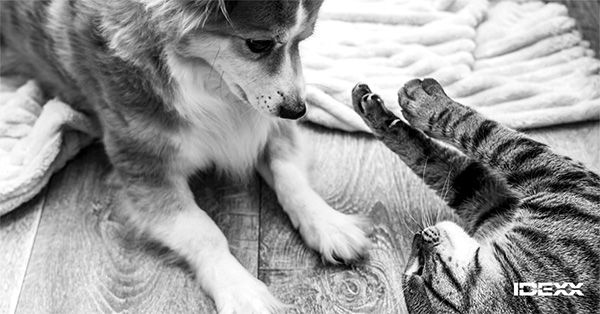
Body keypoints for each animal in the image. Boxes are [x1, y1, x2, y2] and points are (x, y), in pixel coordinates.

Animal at [1, 1, 370, 312]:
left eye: (304, 40)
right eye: (258, 44)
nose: (297, 110)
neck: (204, 79)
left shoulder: (266, 124)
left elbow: (290, 177)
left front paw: (329, 224)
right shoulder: (144, 167)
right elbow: (202, 231)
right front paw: (240, 289)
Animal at [352, 79, 600, 314]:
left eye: (418, 266)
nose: (416, 237)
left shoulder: (488, 201)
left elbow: (436, 160)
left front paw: (379, 116)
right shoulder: (557, 177)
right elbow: (482, 133)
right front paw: (425, 103)